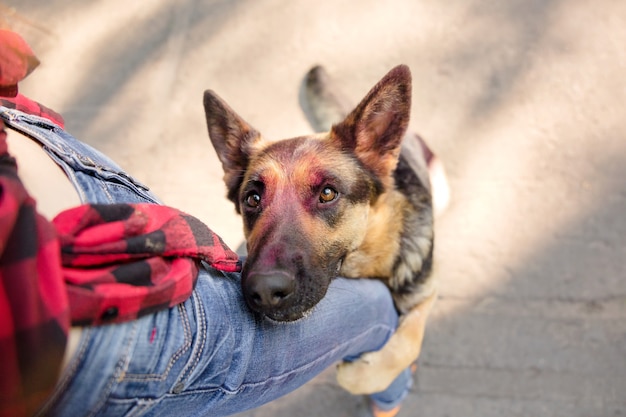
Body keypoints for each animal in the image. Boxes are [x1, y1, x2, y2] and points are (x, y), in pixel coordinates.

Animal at [202, 64, 442, 394]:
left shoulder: (426, 295)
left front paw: (360, 373)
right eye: (252, 199)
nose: (264, 290)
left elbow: (404, 348)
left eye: (327, 193)